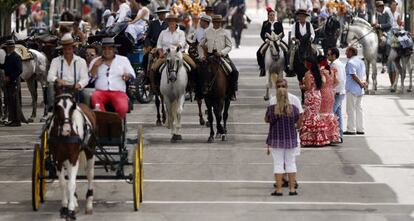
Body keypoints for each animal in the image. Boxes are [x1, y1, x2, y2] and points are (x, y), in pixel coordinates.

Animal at [48, 87, 96, 220]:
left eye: (72, 107)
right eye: (57, 107)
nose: (66, 129)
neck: (64, 137)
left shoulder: (74, 158)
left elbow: (71, 184)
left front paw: (70, 210)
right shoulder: (58, 159)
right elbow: (63, 183)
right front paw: (65, 207)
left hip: (90, 151)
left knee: (90, 174)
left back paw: (89, 204)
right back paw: (74, 201)